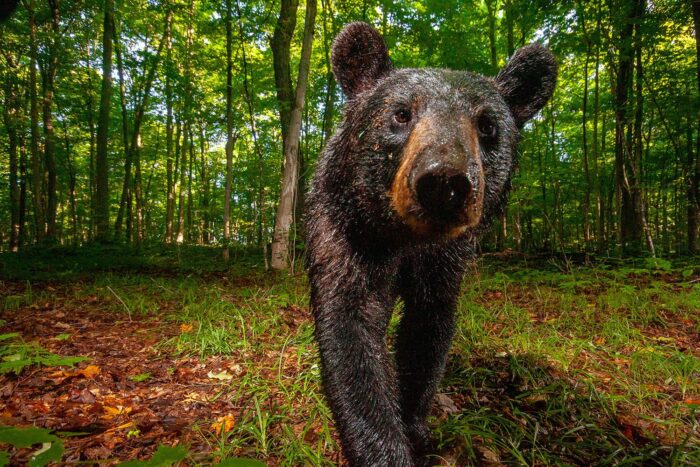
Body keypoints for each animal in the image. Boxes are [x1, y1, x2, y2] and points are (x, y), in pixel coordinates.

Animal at [305, 22, 556, 466]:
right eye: (401, 113)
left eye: (487, 125)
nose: (443, 182)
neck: (403, 241)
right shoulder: (345, 233)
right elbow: (350, 333)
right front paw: (383, 447)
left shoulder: (444, 260)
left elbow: (428, 331)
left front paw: (416, 429)